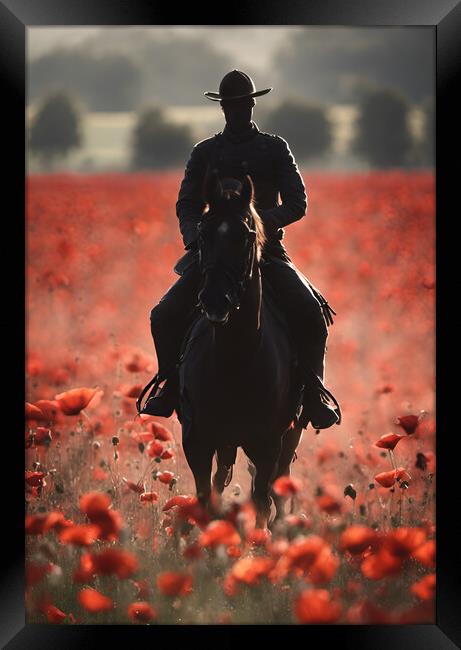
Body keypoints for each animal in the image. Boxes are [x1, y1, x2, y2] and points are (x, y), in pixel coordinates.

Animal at [178, 168, 304, 528]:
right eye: (203, 234)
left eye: (246, 236)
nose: (215, 301)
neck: (235, 358)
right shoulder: (197, 439)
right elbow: (205, 497)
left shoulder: (268, 442)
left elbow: (260, 499)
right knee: (222, 477)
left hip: (289, 436)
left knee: (279, 484)